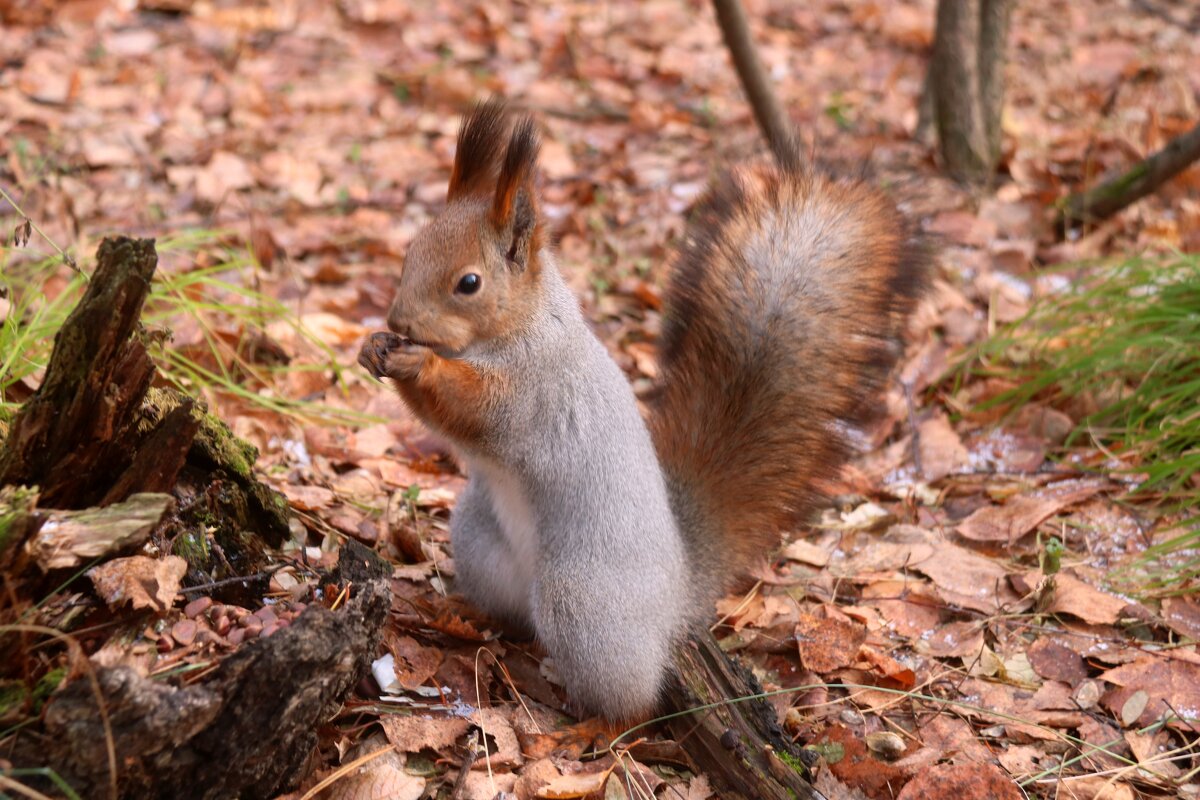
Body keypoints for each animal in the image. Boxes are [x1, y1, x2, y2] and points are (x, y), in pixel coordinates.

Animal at [355, 101, 926, 724]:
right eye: (410, 252)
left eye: (469, 283)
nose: (400, 320)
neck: (522, 325)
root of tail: (678, 592)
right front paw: (374, 346)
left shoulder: (535, 389)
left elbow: (473, 408)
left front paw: (416, 362)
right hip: (480, 538)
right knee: (515, 615)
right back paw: (471, 619)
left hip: (583, 601)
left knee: (634, 699)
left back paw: (590, 723)